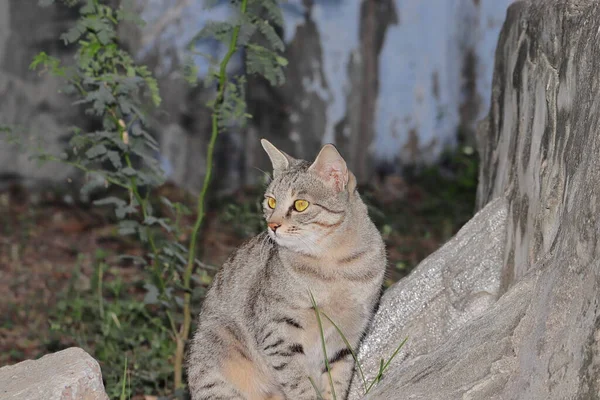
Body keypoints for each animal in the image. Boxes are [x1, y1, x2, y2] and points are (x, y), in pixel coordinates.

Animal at [185, 139, 386, 398]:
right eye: (271, 201)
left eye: (300, 205)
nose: (272, 225)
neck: (334, 265)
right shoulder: (278, 332)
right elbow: (299, 384)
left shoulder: (347, 337)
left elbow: (336, 383)